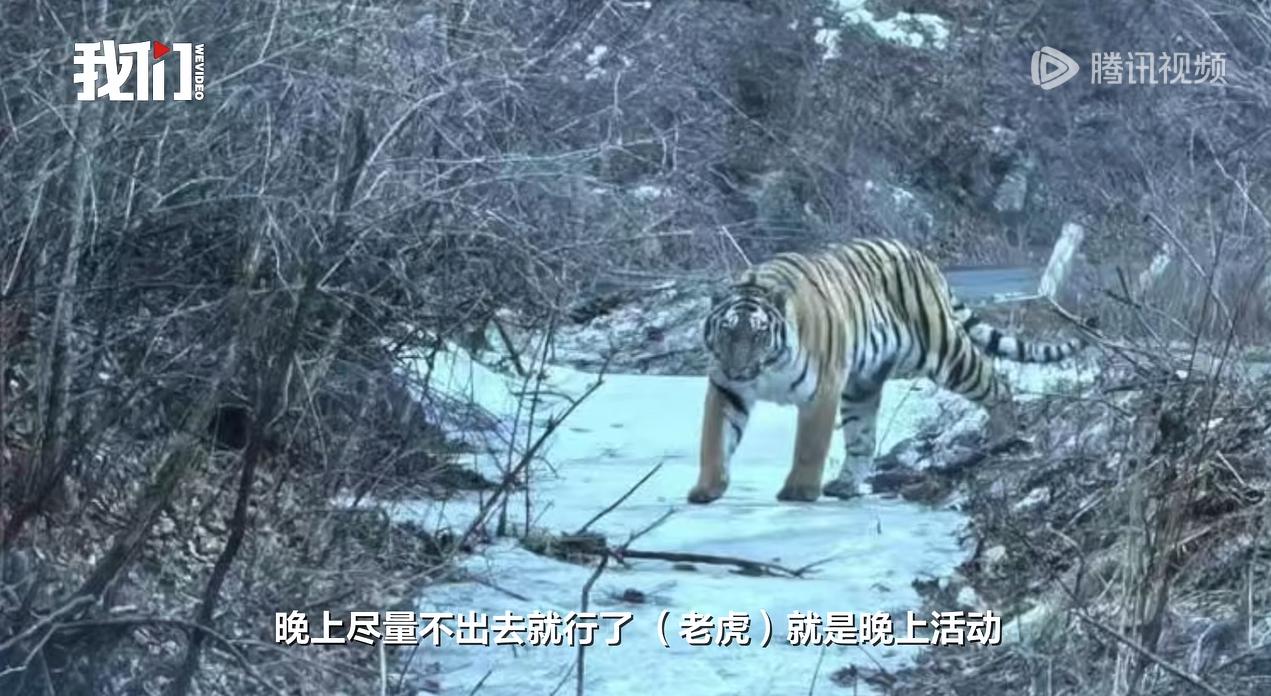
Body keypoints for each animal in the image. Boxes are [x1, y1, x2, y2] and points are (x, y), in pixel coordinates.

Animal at [689, 238, 1091, 504]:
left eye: (758, 334)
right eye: (727, 332)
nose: (739, 367)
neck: (768, 368)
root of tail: (921, 256)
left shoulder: (822, 389)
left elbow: (809, 446)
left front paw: (799, 492)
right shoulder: (726, 389)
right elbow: (714, 439)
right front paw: (706, 489)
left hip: (945, 352)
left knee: (996, 381)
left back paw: (1002, 437)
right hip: (862, 385)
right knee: (863, 440)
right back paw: (846, 485)